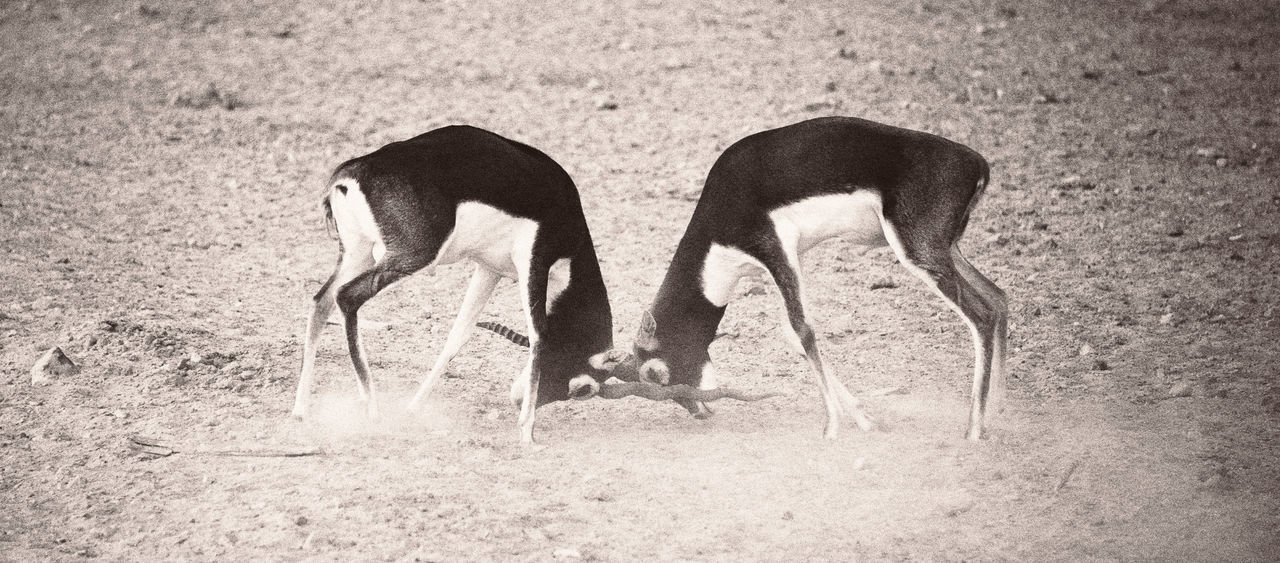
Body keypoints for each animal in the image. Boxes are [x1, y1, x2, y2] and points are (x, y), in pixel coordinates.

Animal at [290, 125, 768, 442]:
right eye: (584, 389)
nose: (521, 402)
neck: (559, 206)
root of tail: (351, 173)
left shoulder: (490, 269)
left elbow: (457, 337)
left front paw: (413, 408)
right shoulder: (534, 260)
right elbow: (539, 334)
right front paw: (527, 433)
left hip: (356, 252)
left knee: (321, 300)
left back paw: (300, 410)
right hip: (410, 256)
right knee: (348, 298)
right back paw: (370, 409)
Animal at [629, 117, 1008, 440]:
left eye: (655, 373)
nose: (699, 411)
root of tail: (977, 164)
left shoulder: (774, 250)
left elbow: (803, 330)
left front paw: (832, 428)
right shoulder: (785, 263)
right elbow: (791, 333)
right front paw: (865, 420)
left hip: (919, 252)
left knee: (982, 315)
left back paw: (974, 431)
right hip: (946, 249)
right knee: (998, 296)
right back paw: (997, 414)